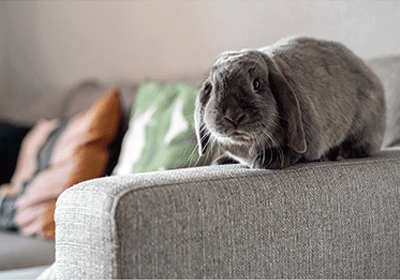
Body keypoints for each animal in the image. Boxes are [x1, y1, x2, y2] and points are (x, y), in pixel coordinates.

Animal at [195, 37, 386, 168]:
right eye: (213, 88)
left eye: (256, 84)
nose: (233, 116)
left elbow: (294, 153)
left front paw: (266, 161)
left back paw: (335, 154)